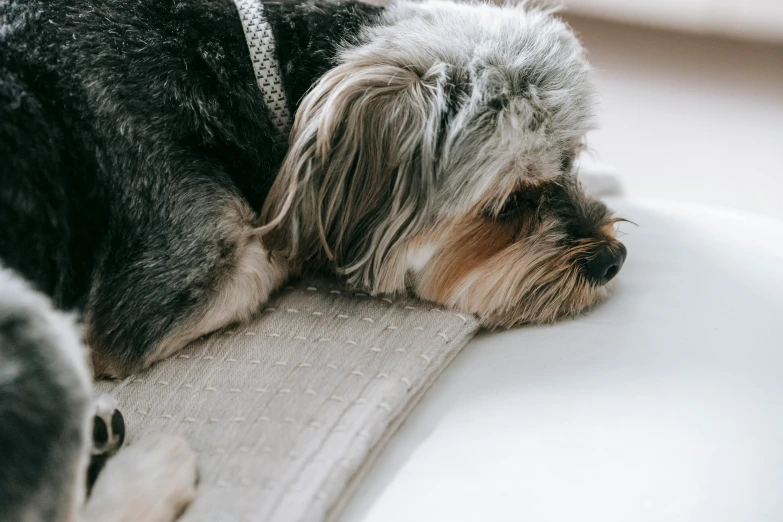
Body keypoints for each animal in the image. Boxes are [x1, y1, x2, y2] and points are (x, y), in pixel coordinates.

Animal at [0, 0, 624, 516]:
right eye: (511, 203)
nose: (612, 259)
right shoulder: (155, 293)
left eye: (571, 159)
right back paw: (152, 469)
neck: (245, 59)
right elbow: (282, 242)